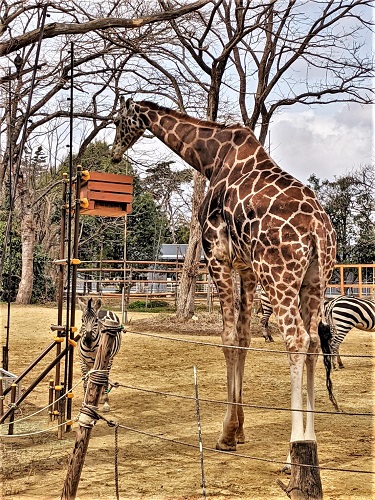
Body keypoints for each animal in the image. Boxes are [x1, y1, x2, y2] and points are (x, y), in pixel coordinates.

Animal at [111, 96, 338, 454]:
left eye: (119, 120)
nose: (114, 153)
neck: (210, 157)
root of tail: (317, 228)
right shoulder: (246, 269)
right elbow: (244, 339)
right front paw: (239, 430)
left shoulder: (218, 257)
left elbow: (228, 338)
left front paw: (227, 434)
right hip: (317, 278)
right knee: (314, 341)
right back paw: (310, 440)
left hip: (280, 275)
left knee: (297, 339)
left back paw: (295, 448)